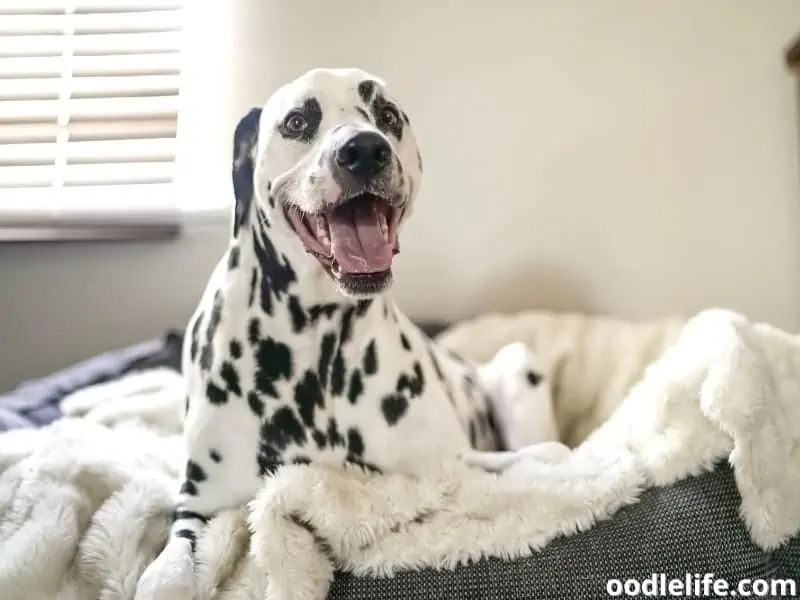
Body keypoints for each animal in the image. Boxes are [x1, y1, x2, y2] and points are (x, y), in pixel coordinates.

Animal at [134, 67, 564, 600]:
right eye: (297, 121)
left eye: (387, 115)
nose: (364, 150)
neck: (315, 347)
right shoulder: (200, 507)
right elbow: (167, 571)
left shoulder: (453, 466)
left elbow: (531, 460)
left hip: (518, 364)